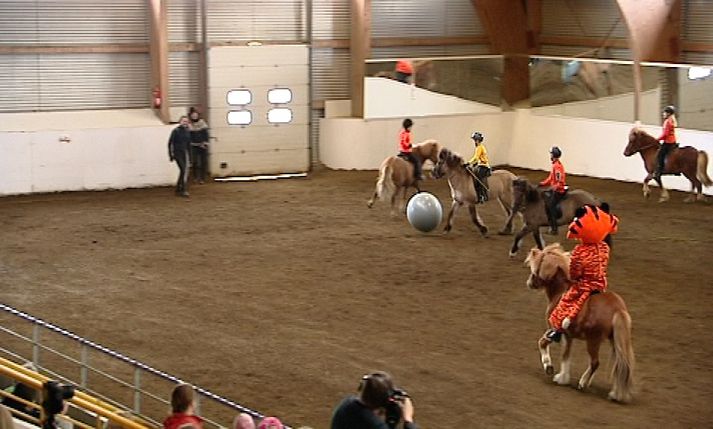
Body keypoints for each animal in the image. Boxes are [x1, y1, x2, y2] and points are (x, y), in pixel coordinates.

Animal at [524, 242, 636, 402]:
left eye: (537, 266)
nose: (530, 283)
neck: (561, 291)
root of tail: (618, 309)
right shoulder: (568, 336)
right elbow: (566, 355)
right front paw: (562, 377)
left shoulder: (557, 330)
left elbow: (543, 344)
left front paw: (551, 369)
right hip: (614, 342)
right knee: (620, 365)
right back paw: (615, 393)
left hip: (593, 341)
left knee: (595, 362)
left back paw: (583, 383)